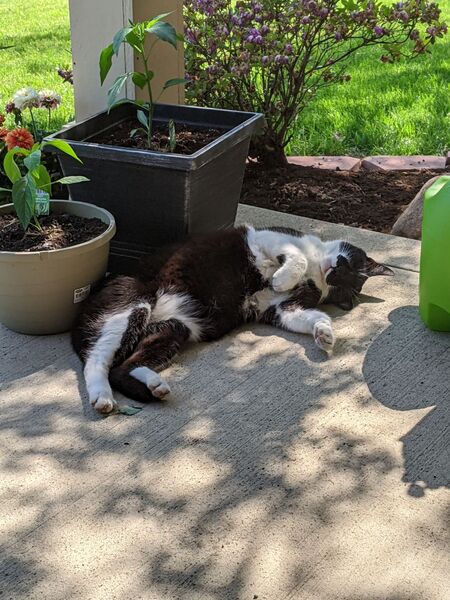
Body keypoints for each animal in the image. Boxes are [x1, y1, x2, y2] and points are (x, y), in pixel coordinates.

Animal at [72, 225, 392, 412]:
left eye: (343, 286)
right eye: (346, 264)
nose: (333, 274)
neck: (316, 271)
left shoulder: (280, 309)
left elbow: (311, 315)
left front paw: (325, 333)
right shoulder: (269, 239)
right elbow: (296, 258)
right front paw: (281, 279)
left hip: (174, 329)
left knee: (122, 367)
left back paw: (155, 386)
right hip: (131, 306)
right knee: (97, 361)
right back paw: (102, 397)